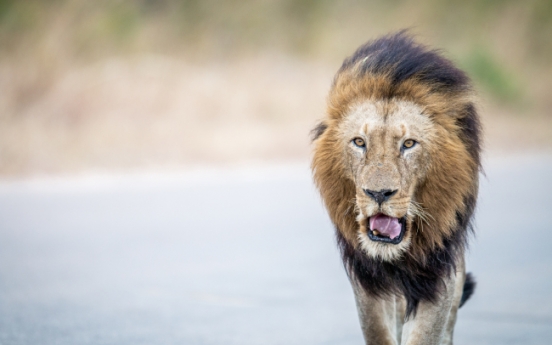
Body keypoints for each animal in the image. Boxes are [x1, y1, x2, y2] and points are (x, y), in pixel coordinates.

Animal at [312, 30, 480, 342]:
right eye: (359, 142)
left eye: (409, 144)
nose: (378, 193)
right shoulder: (366, 277)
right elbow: (377, 331)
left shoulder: (439, 270)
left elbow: (425, 334)